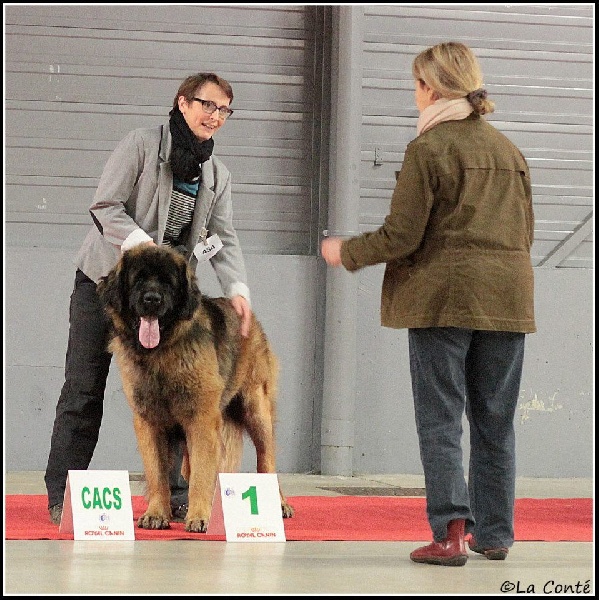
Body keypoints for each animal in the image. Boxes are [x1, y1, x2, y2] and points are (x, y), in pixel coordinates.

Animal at [96, 244, 294, 532]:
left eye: (168, 282)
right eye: (139, 279)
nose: (152, 299)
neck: (161, 353)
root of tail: (245, 313)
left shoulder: (201, 420)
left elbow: (202, 473)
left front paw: (199, 516)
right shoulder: (149, 423)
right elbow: (157, 474)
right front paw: (157, 513)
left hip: (256, 409)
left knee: (266, 458)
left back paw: (278, 503)